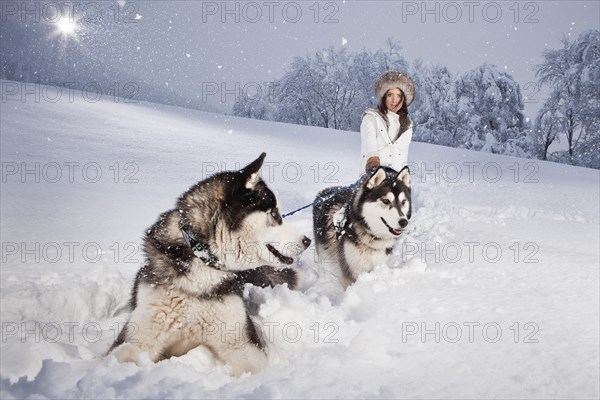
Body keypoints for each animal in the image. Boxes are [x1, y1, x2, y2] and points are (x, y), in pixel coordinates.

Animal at [108, 152, 312, 376]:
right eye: (275, 214)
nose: (307, 240)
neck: (203, 262)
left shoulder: (241, 343)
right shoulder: (138, 339)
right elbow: (122, 355)